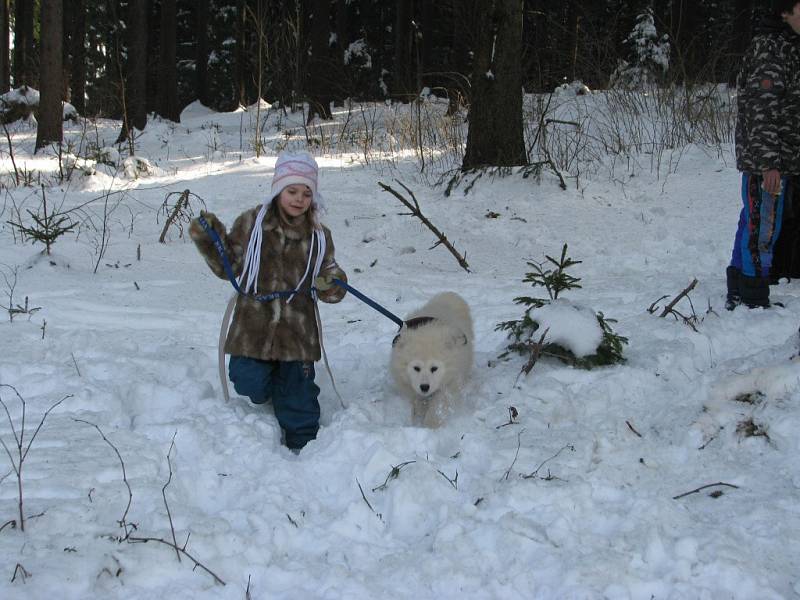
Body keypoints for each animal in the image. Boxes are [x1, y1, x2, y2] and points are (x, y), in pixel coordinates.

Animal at [390, 292, 472, 426]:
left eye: (434, 368)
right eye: (416, 368)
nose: (424, 387)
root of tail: (449, 295)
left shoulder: (449, 382)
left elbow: (438, 405)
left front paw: (430, 424)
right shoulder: (410, 386)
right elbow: (418, 403)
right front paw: (417, 420)